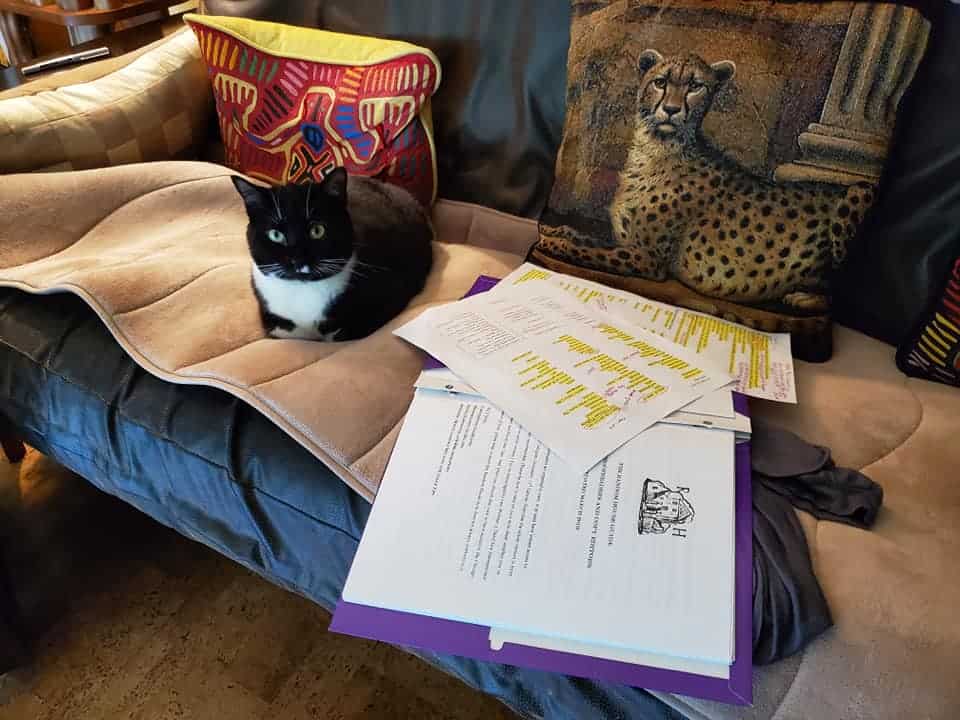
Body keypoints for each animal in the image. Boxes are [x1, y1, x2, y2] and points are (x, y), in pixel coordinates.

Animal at [232, 167, 432, 342]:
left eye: (317, 230)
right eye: (275, 235)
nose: (298, 259)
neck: (303, 290)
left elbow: (343, 332)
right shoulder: (276, 323)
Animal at [608, 47, 876, 312]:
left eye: (695, 86)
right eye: (660, 82)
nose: (672, 110)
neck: (656, 148)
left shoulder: (649, 259)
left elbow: (597, 252)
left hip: (860, 191)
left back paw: (806, 298)